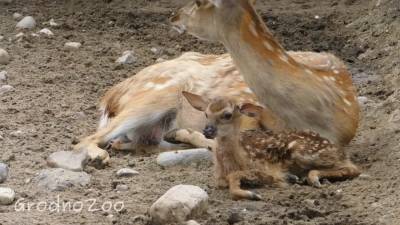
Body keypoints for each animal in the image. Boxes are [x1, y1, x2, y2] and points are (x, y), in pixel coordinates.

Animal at [73, 0, 358, 165]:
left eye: (200, 2)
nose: (173, 15)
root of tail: (110, 98)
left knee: (143, 142)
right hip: (157, 94)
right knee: (87, 139)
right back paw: (100, 155)